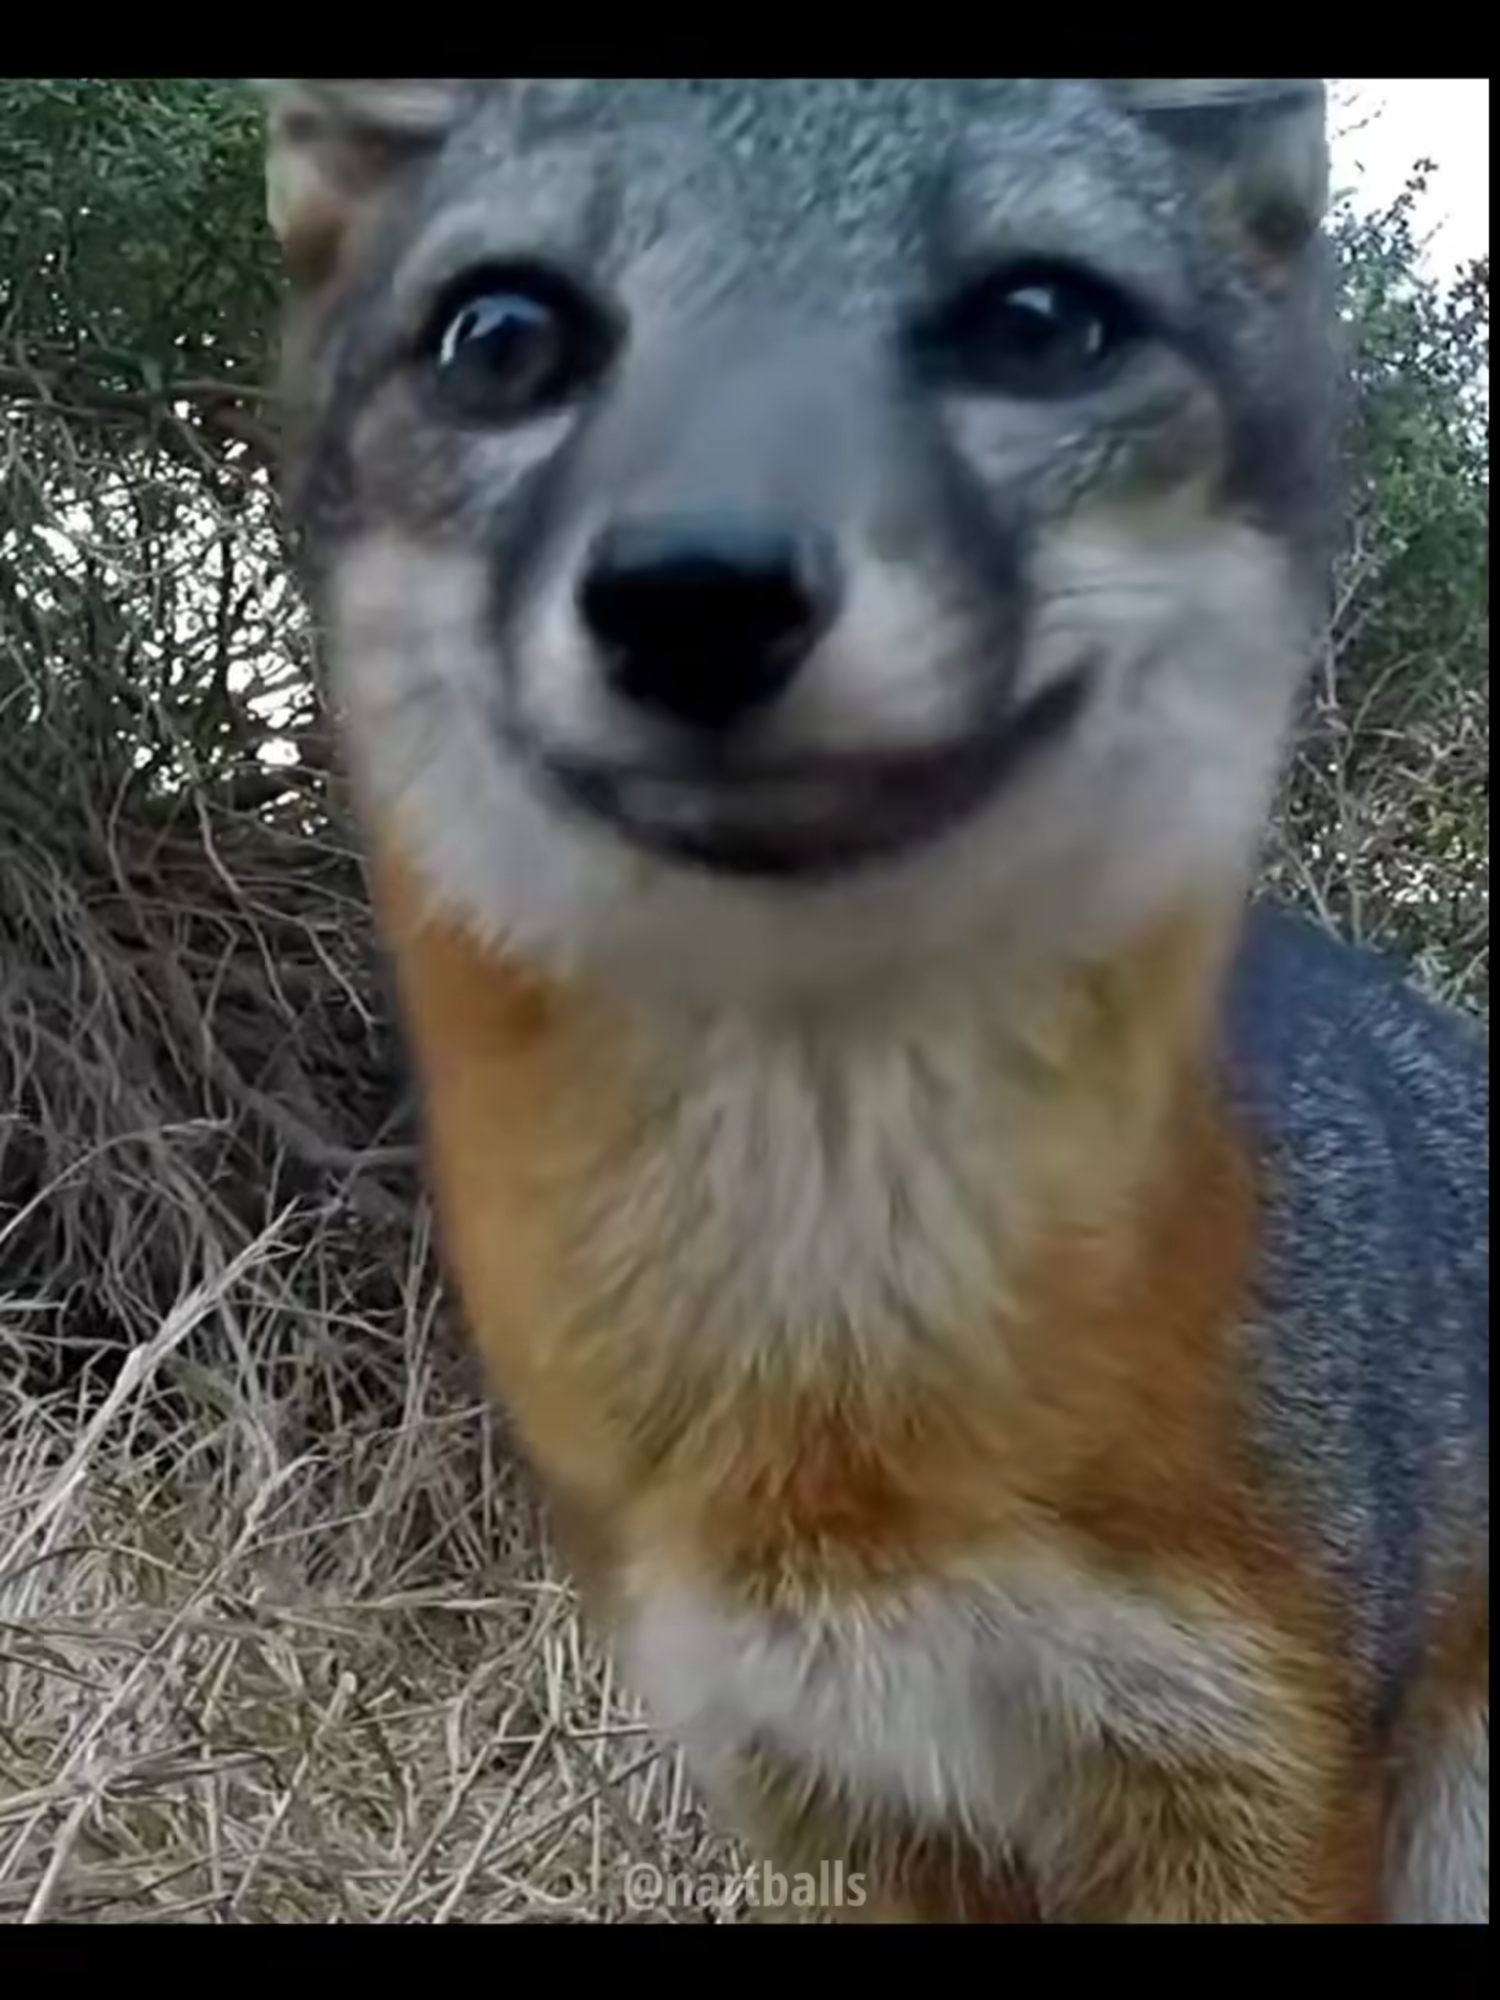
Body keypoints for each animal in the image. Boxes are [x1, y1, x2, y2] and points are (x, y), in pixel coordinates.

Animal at [254, 78, 1488, 1923]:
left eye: (1039, 322)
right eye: (505, 338)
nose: (697, 591)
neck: (840, 1420)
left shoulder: (1252, 1782)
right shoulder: (873, 1796)